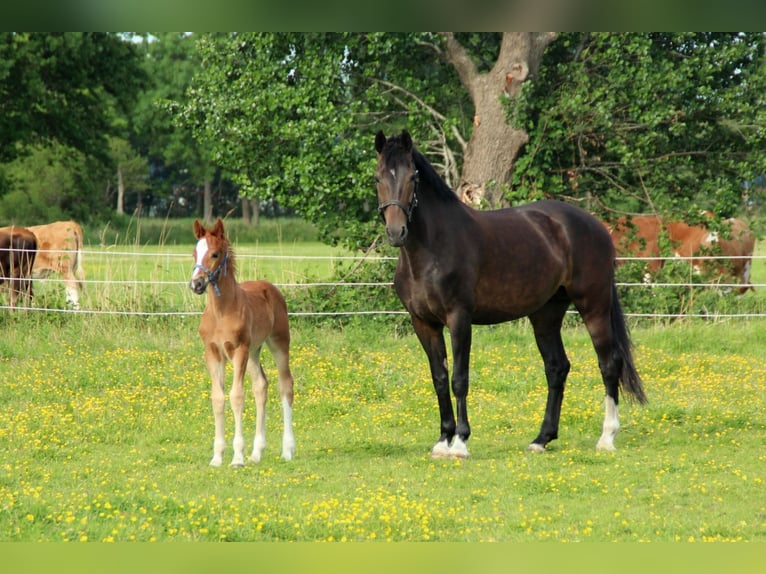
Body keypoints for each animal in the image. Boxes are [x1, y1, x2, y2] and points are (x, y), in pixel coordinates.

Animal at [189, 218, 295, 467]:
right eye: (194, 253)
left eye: (215, 254)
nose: (196, 284)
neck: (221, 312)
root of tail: (270, 287)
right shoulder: (213, 352)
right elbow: (218, 398)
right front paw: (217, 456)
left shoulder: (239, 350)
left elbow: (236, 396)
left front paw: (237, 457)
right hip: (255, 350)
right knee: (261, 386)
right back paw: (256, 453)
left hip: (278, 342)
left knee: (285, 385)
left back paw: (287, 450)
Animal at [374, 130, 647, 458]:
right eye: (377, 177)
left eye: (412, 177)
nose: (396, 232)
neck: (431, 250)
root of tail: (596, 225)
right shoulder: (423, 323)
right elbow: (439, 378)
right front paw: (442, 441)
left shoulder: (459, 319)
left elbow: (459, 379)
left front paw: (460, 443)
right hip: (546, 314)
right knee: (557, 368)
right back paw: (541, 438)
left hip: (593, 305)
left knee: (609, 364)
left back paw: (607, 437)